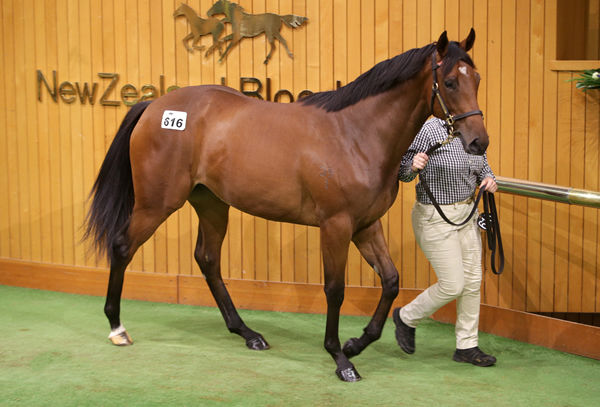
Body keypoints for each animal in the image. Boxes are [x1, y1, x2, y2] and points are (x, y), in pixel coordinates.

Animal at [84, 29, 488, 382]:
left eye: (478, 79)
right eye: (449, 82)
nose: (478, 142)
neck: (354, 135)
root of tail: (155, 106)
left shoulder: (365, 225)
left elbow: (390, 282)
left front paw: (355, 343)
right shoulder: (336, 225)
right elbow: (335, 289)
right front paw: (340, 359)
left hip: (212, 204)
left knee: (207, 259)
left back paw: (247, 333)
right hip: (157, 203)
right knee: (123, 246)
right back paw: (117, 327)